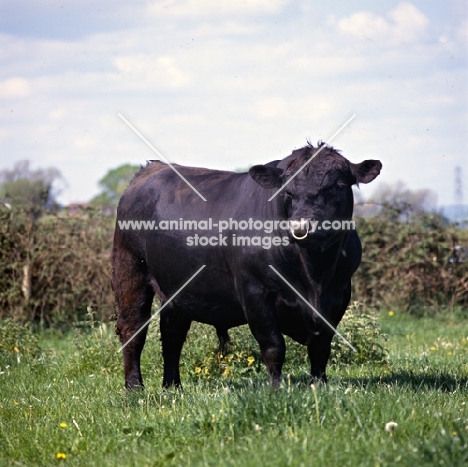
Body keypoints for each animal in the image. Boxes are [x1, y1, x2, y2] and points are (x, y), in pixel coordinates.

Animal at [111, 144, 382, 390]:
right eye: (287, 191)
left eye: (338, 186)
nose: (302, 227)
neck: (313, 274)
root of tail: (152, 168)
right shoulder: (256, 293)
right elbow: (274, 346)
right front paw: (276, 390)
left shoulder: (338, 295)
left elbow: (321, 347)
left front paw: (319, 386)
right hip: (130, 270)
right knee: (133, 329)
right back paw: (135, 388)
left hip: (175, 287)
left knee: (172, 334)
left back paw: (172, 387)